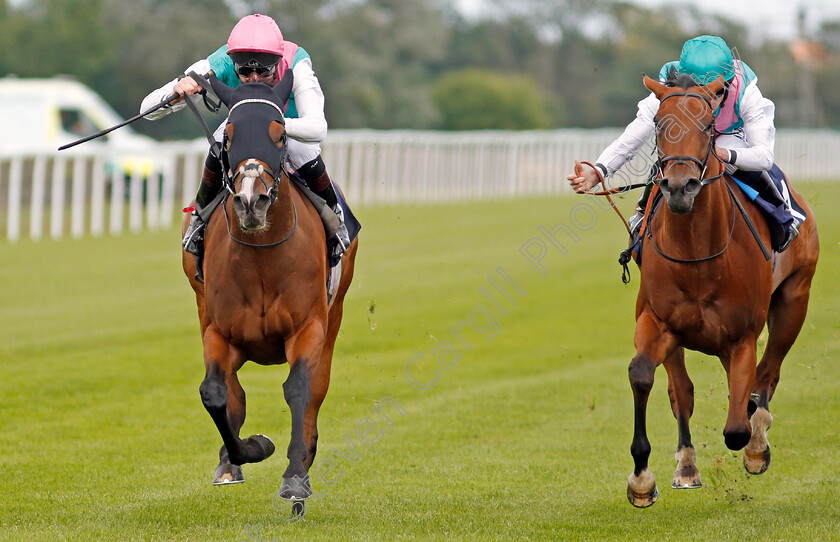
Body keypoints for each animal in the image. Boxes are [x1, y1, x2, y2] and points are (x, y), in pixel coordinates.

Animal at [180, 73, 358, 510]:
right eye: (227, 136)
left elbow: (299, 389)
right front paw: (249, 450)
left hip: (335, 315)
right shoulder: (218, 331)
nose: (250, 200)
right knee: (232, 392)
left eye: (279, 135)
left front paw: (295, 476)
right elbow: (214, 393)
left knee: (316, 388)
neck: (262, 258)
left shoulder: (308, 327)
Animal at [632, 74, 820, 508]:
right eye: (659, 124)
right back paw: (687, 465)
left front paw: (754, 446)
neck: (699, 253)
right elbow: (645, 376)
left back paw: (758, 440)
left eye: (707, 127)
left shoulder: (742, 336)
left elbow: (737, 425)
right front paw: (642, 479)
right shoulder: (659, 322)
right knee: (684, 390)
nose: (679, 187)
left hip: (794, 301)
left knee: (766, 375)